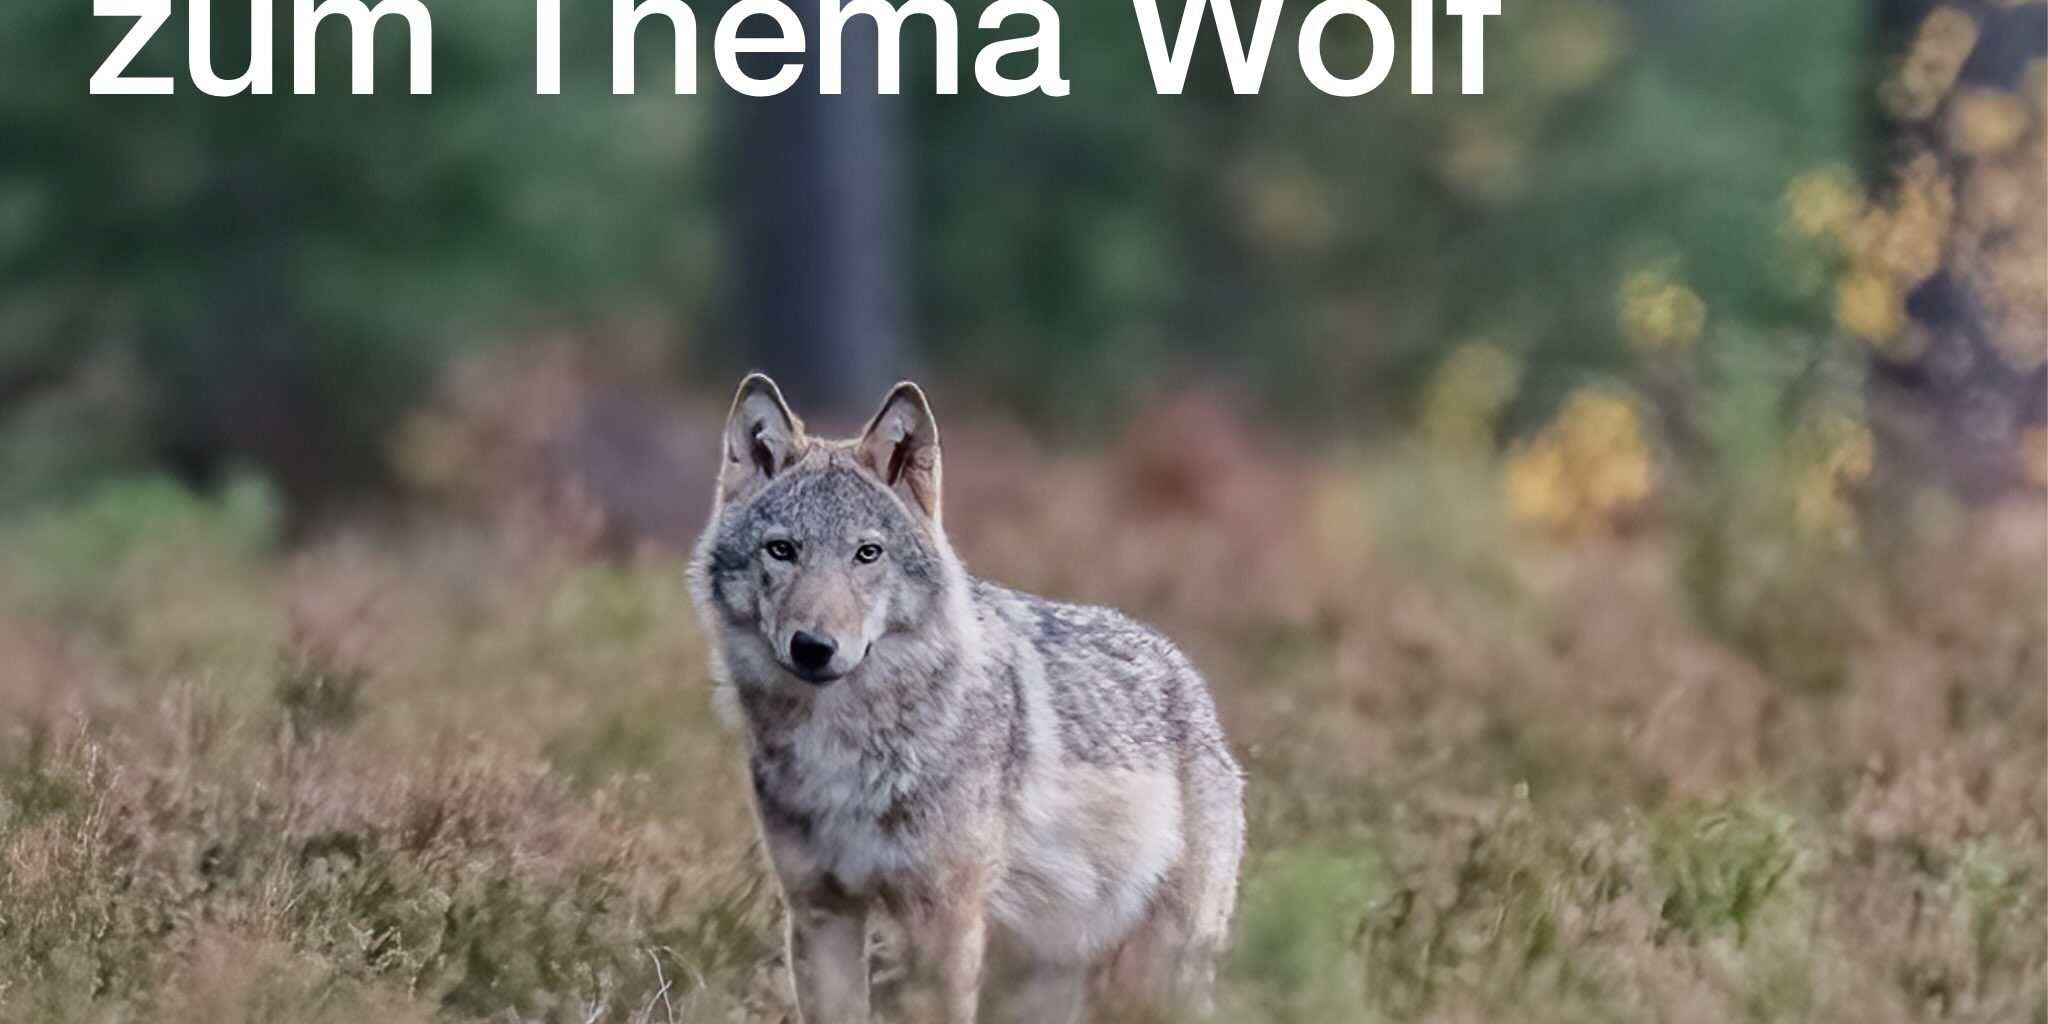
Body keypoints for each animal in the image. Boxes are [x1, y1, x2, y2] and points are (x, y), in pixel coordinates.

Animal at [688, 374, 1245, 1024]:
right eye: (782, 550)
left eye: (867, 553)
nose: (813, 647)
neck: (841, 750)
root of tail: (1184, 672)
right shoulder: (820, 910)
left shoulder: (944, 923)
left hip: (1153, 976)